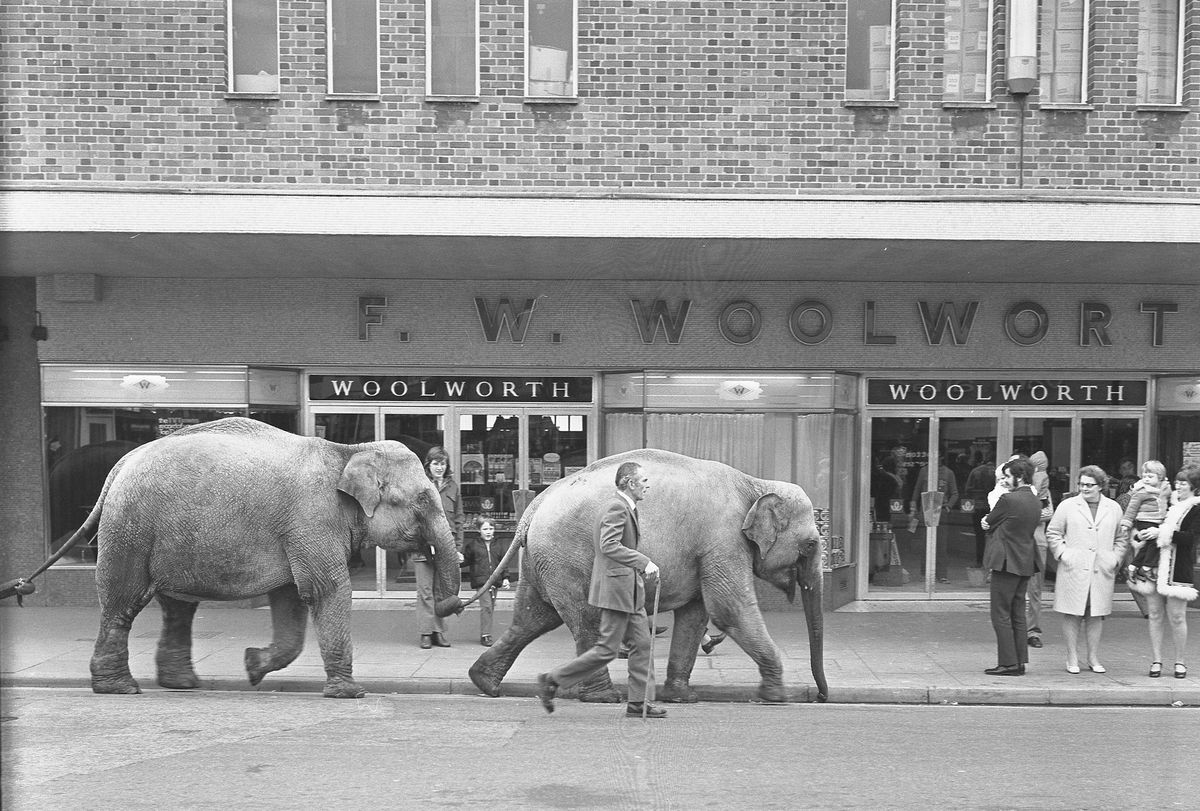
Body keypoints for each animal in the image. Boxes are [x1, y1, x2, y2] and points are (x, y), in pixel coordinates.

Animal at [82, 417, 465, 695]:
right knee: (123, 603)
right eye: (421, 499)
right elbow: (326, 590)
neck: (349, 451)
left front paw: (252, 667)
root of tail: (121, 464)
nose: (455, 606)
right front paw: (350, 693)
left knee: (178, 608)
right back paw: (120, 688)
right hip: (131, 531)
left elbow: (291, 598)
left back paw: (183, 685)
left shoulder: (296, 533)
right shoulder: (312, 521)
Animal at [465, 448, 825, 705]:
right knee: (585, 620)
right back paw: (603, 697)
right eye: (810, 544)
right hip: (566, 558)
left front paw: (682, 697)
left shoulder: (708, 551)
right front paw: (777, 697)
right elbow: (729, 609)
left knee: (533, 617)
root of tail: (534, 505)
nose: (822, 695)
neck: (757, 483)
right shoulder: (723, 542)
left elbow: (696, 615)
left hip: (543, 561)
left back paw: (486, 683)